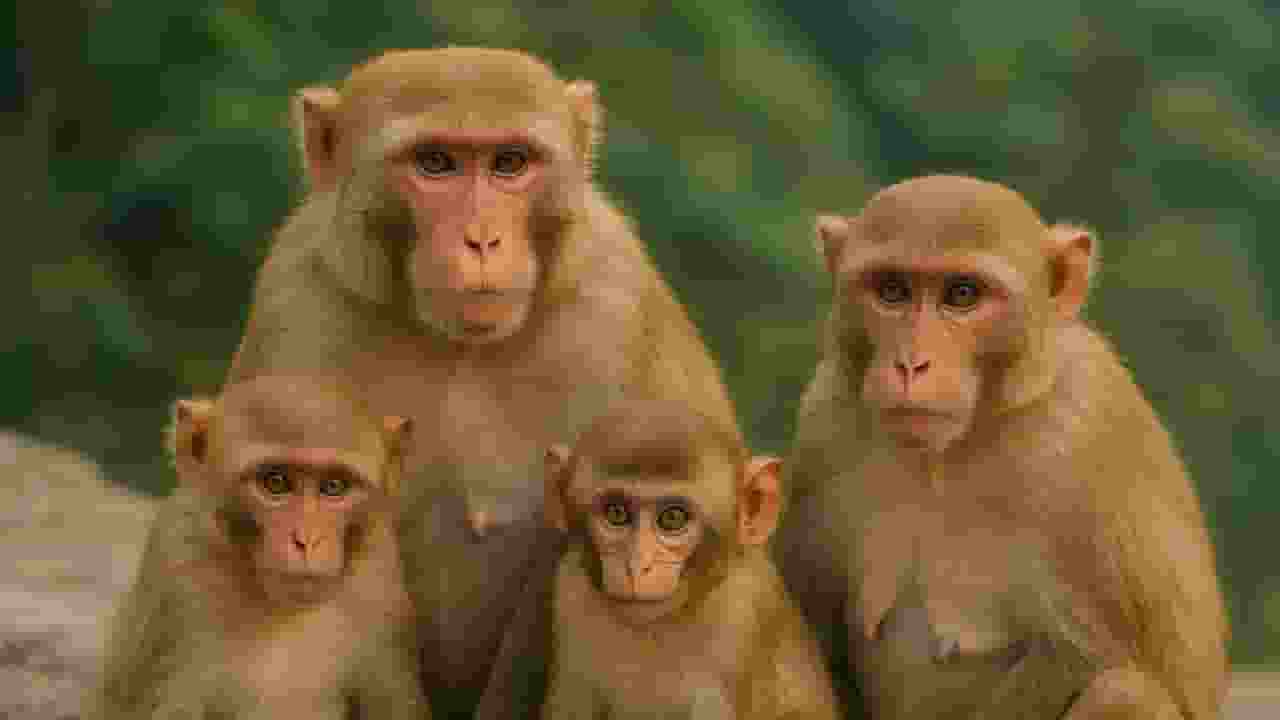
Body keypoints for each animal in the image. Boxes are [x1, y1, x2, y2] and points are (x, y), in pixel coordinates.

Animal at [216, 47, 740, 718]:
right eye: (434, 163)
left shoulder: (614, 305)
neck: (459, 346)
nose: (482, 240)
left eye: (509, 163)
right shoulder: (298, 294)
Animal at [773, 174, 1229, 720]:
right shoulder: (827, 417)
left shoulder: (1083, 428)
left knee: (1124, 690)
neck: (953, 448)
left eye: (963, 294)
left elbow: (1083, 655)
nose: (911, 365)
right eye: (892, 291)